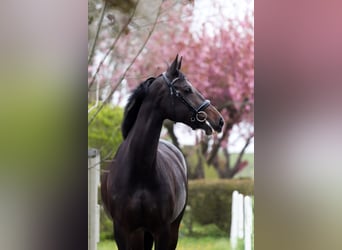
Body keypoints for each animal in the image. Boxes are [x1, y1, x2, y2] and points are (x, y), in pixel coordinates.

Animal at [101, 55, 224, 249]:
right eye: (187, 89)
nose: (219, 120)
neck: (140, 173)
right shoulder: (125, 231)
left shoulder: (163, 231)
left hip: (171, 229)